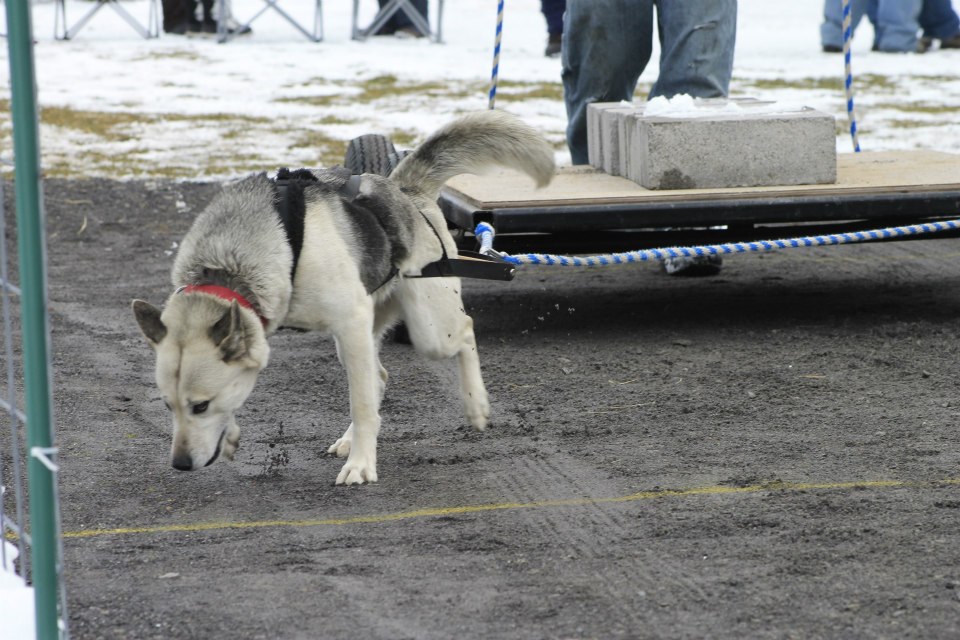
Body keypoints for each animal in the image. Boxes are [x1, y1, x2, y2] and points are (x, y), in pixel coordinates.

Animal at [135, 110, 556, 484]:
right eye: (167, 404)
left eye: (200, 405)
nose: (180, 464)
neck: (226, 265)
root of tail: (406, 191)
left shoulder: (351, 320)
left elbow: (363, 405)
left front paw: (362, 466)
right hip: (362, 334)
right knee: (379, 375)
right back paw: (352, 437)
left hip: (429, 330)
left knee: (463, 332)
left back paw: (475, 405)